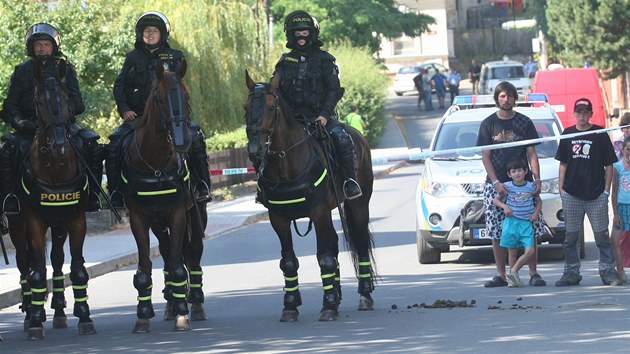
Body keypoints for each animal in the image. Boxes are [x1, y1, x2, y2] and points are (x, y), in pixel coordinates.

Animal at [6, 58, 96, 340]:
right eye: (38, 101)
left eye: (66, 98)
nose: (59, 146)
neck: (55, 165)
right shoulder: (34, 224)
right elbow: (36, 273)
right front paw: (35, 321)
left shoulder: (76, 221)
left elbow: (76, 269)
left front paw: (85, 317)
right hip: (17, 226)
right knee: (25, 263)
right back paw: (29, 313)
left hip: (58, 226)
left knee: (56, 261)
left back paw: (58, 311)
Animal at [121, 58, 205, 332]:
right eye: (159, 98)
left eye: (186, 96)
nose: (181, 142)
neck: (155, 164)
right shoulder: (139, 218)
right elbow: (146, 266)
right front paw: (142, 316)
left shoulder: (177, 214)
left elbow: (179, 266)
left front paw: (183, 315)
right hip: (159, 224)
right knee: (168, 255)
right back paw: (170, 304)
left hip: (196, 216)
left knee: (193, 254)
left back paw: (195, 304)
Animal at [246, 70, 376, 322]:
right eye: (246, 108)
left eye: (271, 108)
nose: (255, 150)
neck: (285, 161)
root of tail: (360, 137)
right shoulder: (278, 219)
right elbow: (288, 262)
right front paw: (290, 305)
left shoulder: (319, 213)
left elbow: (324, 258)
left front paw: (328, 305)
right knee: (334, 243)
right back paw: (337, 292)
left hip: (359, 204)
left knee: (360, 242)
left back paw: (364, 294)